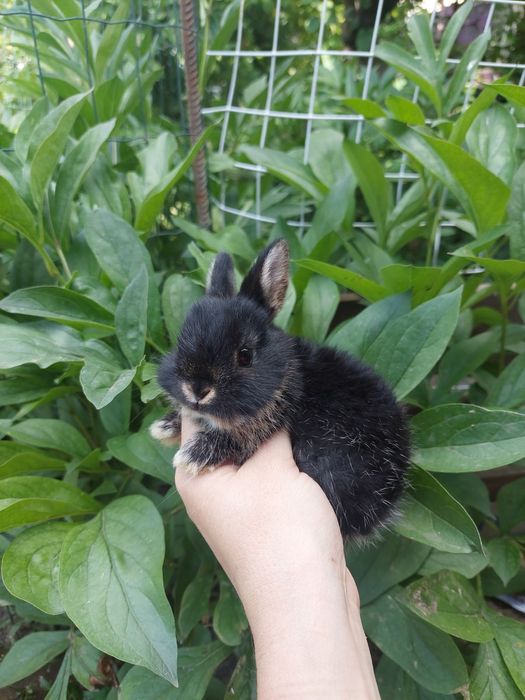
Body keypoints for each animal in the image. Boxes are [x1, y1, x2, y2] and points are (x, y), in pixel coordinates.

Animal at [151, 239, 410, 538]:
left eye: (245, 355)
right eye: (179, 343)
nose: (196, 389)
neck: (287, 375)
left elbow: (243, 436)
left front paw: (193, 455)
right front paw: (165, 427)